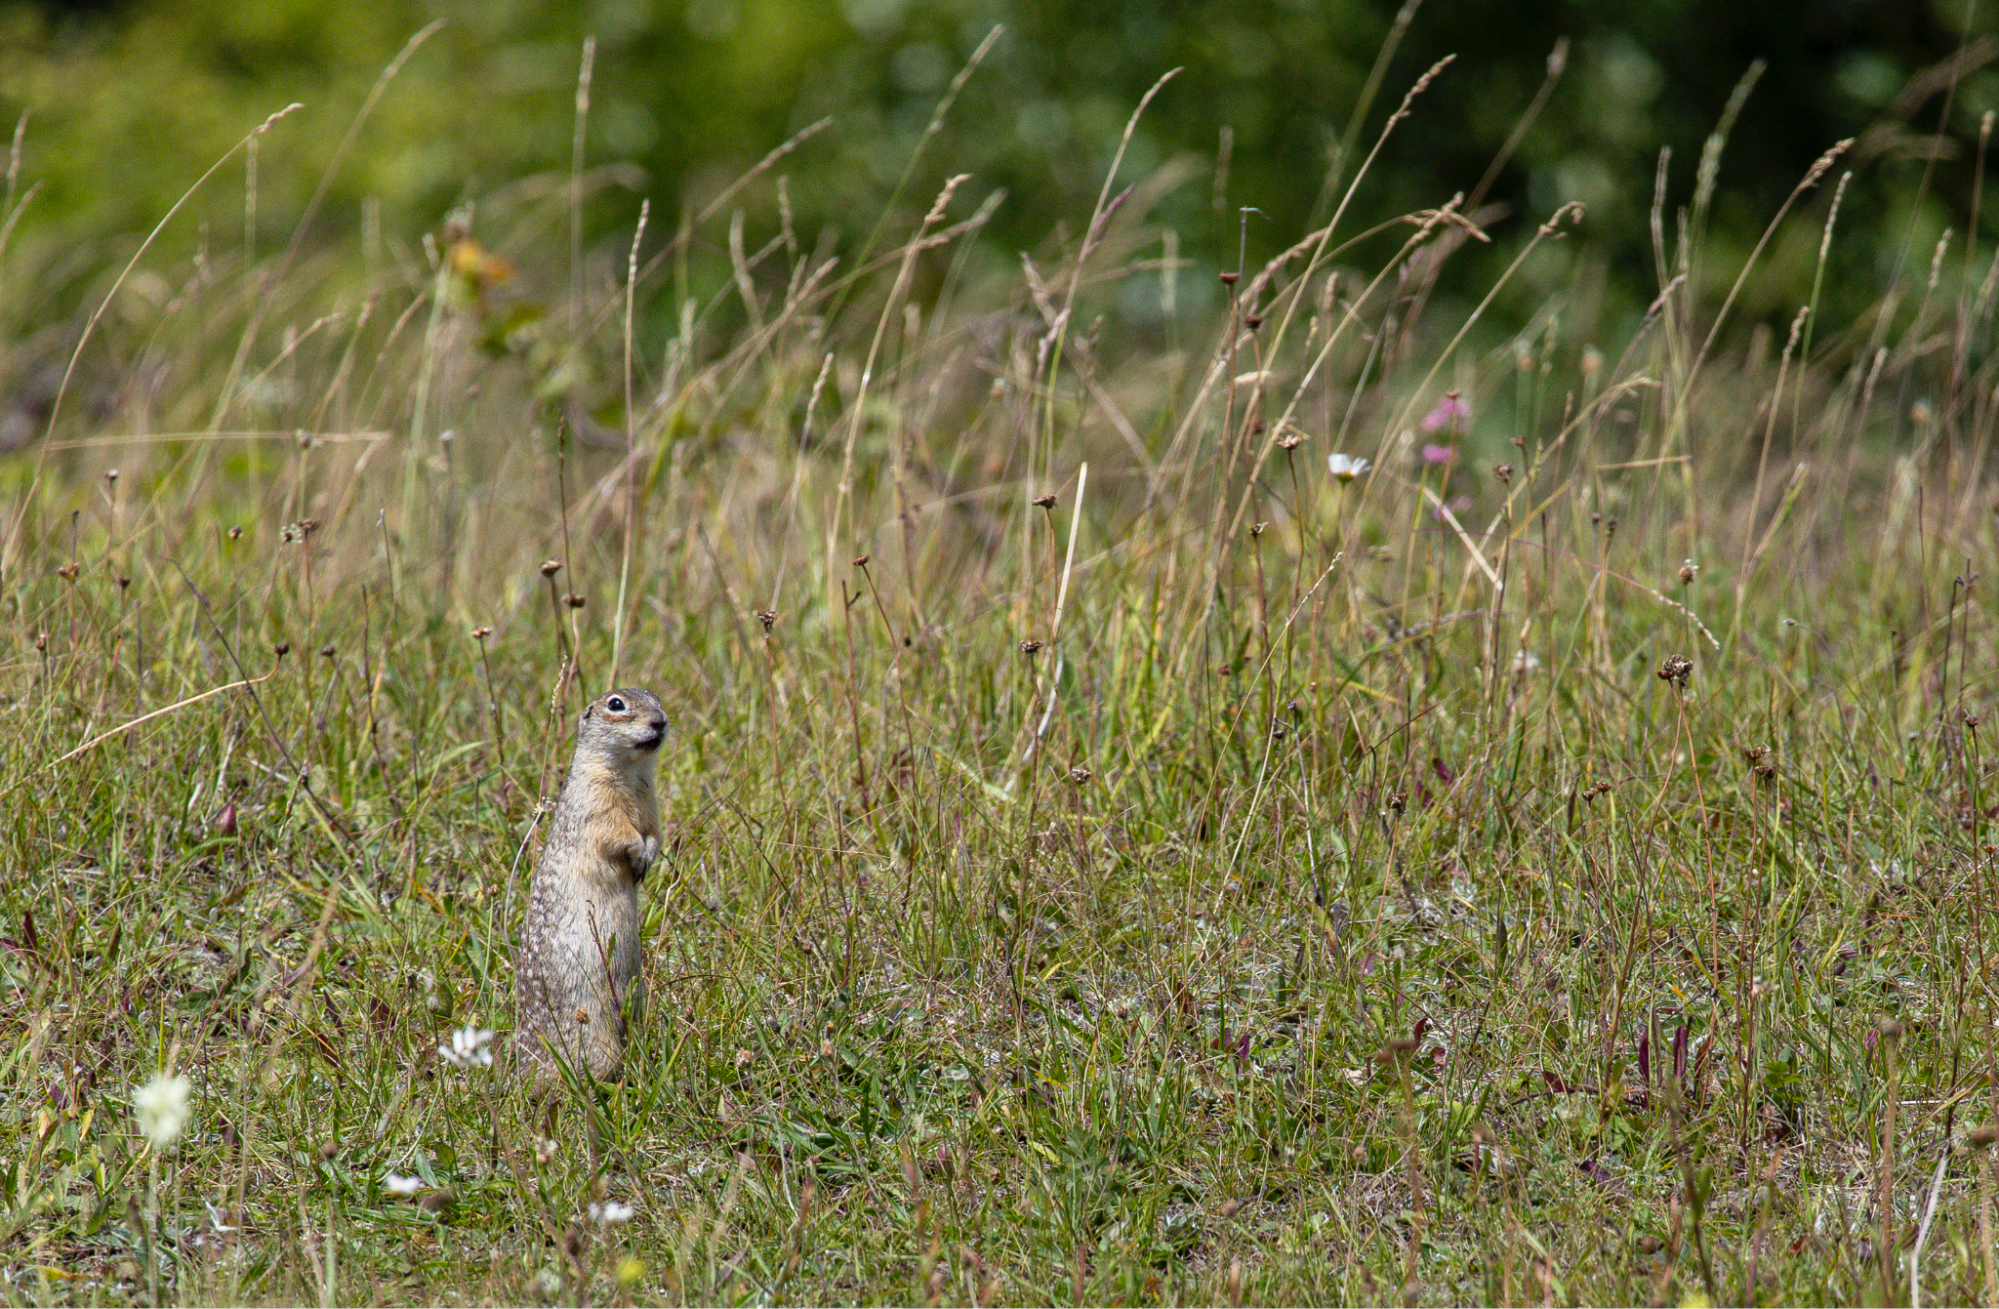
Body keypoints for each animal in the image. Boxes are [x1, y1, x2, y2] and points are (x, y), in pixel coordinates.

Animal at [515, 687, 671, 1087]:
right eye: (616, 704)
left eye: (657, 699)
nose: (660, 721)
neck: (632, 771)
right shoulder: (596, 801)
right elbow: (616, 832)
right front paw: (637, 853)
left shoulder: (651, 803)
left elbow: (654, 832)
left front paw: (648, 856)